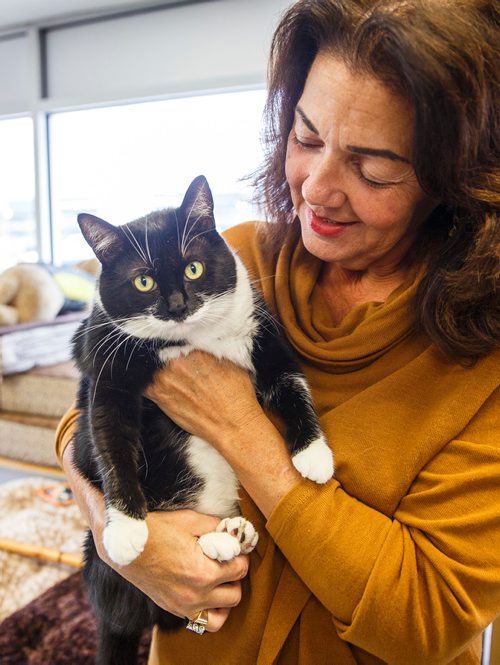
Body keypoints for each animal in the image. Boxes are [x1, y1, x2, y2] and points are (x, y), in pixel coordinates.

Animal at [72, 175, 334, 664]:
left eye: (193, 268)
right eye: (143, 280)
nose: (177, 304)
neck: (192, 340)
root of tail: (111, 617)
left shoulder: (263, 335)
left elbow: (292, 387)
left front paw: (314, 455)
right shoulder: (105, 367)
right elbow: (111, 442)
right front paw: (126, 529)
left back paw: (234, 533)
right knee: (163, 607)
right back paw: (219, 539)